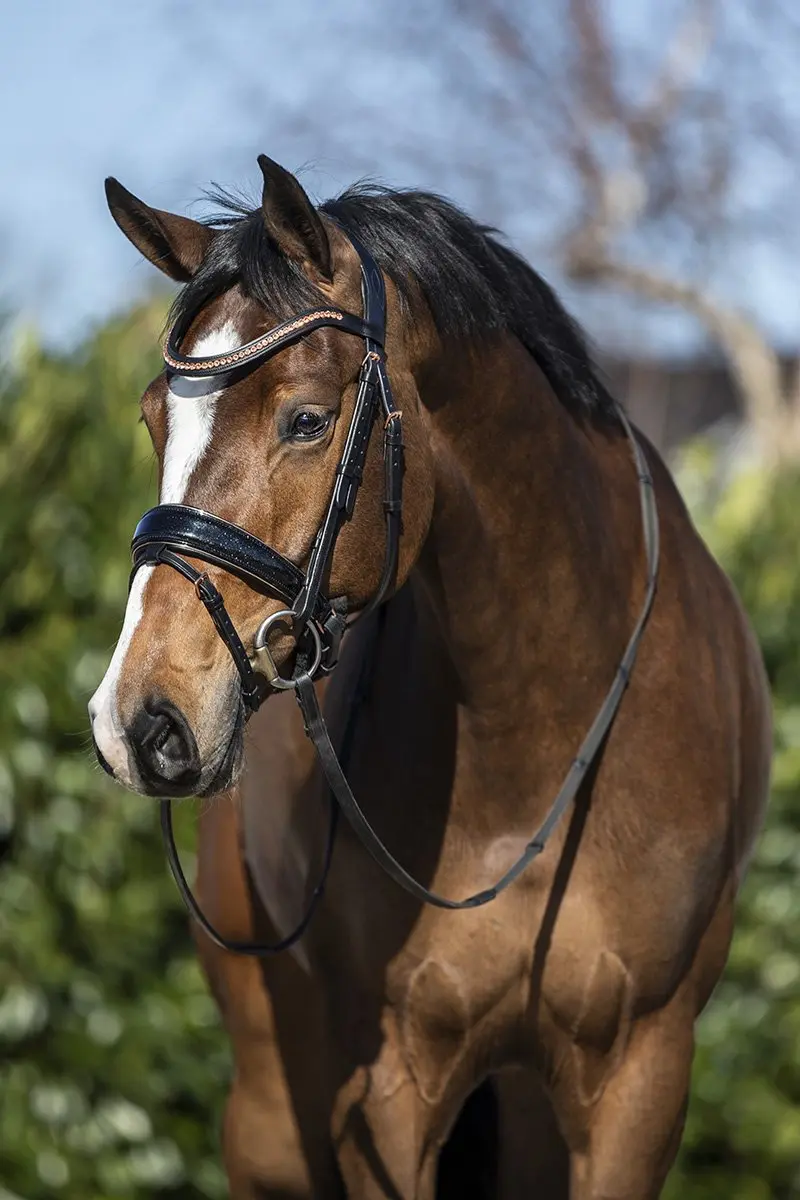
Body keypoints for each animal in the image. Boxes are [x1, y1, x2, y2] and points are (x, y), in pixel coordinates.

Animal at [89, 154, 771, 1199]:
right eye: (153, 419)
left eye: (308, 420)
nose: (141, 720)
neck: (542, 735)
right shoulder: (392, 1091)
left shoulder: (640, 1083)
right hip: (274, 1111)